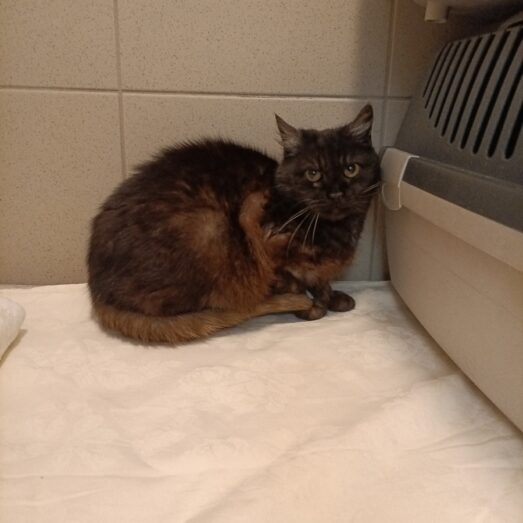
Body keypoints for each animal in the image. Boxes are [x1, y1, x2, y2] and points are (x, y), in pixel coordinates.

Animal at [87, 104, 380, 344]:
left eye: (350, 169)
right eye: (313, 173)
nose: (336, 193)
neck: (338, 231)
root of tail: (97, 291)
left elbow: (320, 280)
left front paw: (332, 297)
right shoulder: (255, 221)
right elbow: (291, 277)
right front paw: (311, 305)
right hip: (211, 228)